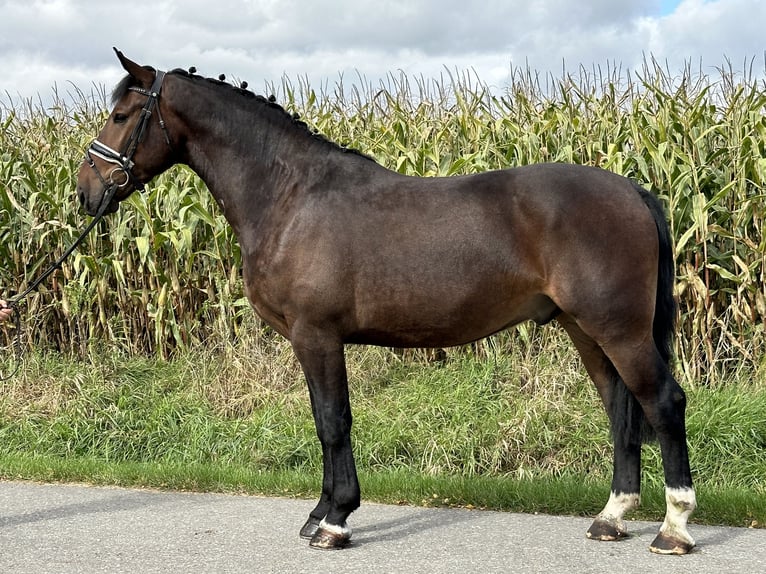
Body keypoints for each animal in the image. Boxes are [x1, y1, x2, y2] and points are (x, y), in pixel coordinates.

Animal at [76, 51, 696, 556]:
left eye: (122, 115)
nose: (86, 190)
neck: (290, 196)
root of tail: (632, 190)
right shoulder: (311, 341)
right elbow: (323, 421)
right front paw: (320, 512)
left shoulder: (317, 335)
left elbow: (333, 421)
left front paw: (335, 522)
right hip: (585, 329)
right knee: (619, 405)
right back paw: (612, 517)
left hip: (619, 330)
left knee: (662, 402)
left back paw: (674, 527)